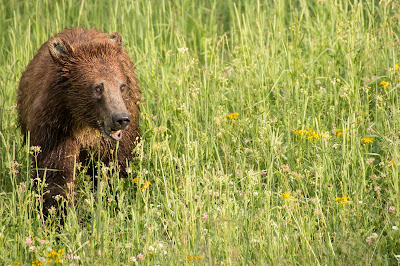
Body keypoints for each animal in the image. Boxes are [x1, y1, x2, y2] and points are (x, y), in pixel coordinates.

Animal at [18, 27, 141, 218]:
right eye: (98, 88)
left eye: (122, 86)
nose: (120, 118)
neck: (84, 123)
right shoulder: (56, 127)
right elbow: (55, 173)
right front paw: (60, 213)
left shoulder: (117, 138)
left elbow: (116, 167)